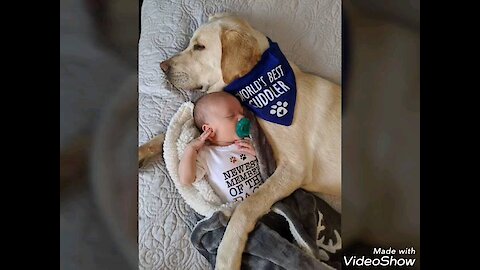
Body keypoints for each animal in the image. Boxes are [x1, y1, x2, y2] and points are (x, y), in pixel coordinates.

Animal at [139, 14, 342, 270]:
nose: (162, 67)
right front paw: (142, 151)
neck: (256, 82)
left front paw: (227, 255)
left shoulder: (294, 169)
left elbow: (246, 208)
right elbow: (168, 135)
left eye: (199, 47)